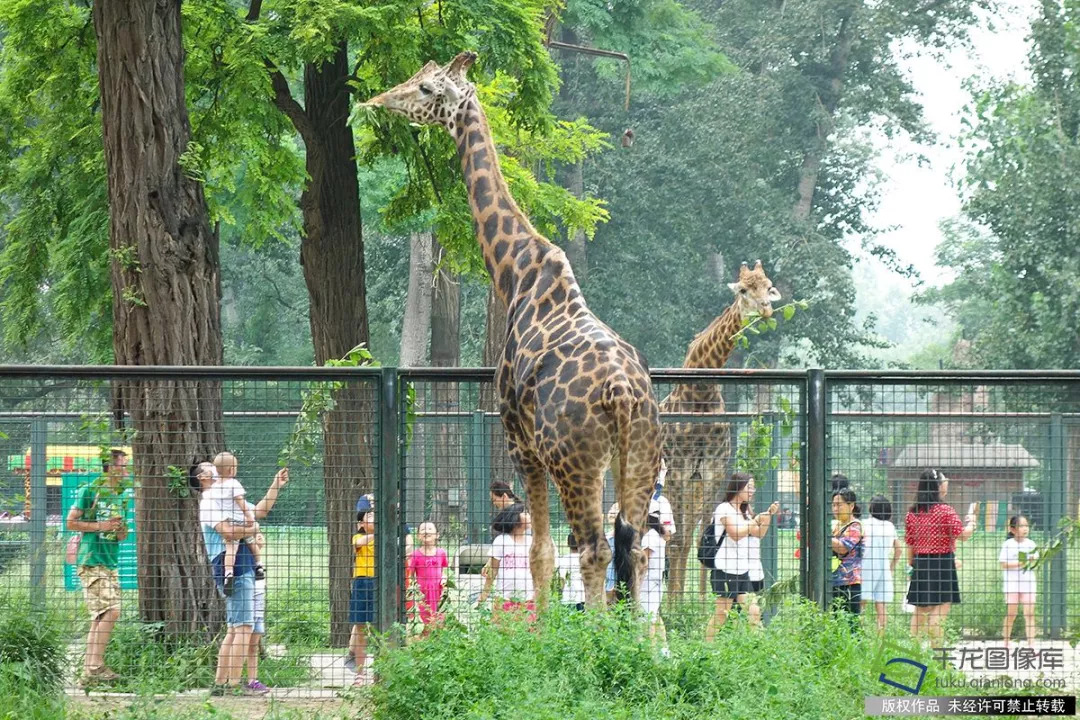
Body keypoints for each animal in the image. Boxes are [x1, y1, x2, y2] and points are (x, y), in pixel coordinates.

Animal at [362, 53, 660, 613]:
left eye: (427, 87)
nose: (379, 100)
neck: (515, 273)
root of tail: (624, 394)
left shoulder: (520, 442)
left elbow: (541, 553)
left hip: (575, 461)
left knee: (593, 548)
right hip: (641, 456)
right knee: (637, 548)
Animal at [660, 262, 781, 600]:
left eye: (768, 286)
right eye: (743, 290)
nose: (766, 310)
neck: (700, 392)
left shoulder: (712, 471)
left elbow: (706, 536)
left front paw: (700, 605)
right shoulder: (680, 470)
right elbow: (678, 541)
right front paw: (675, 608)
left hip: (694, 486)